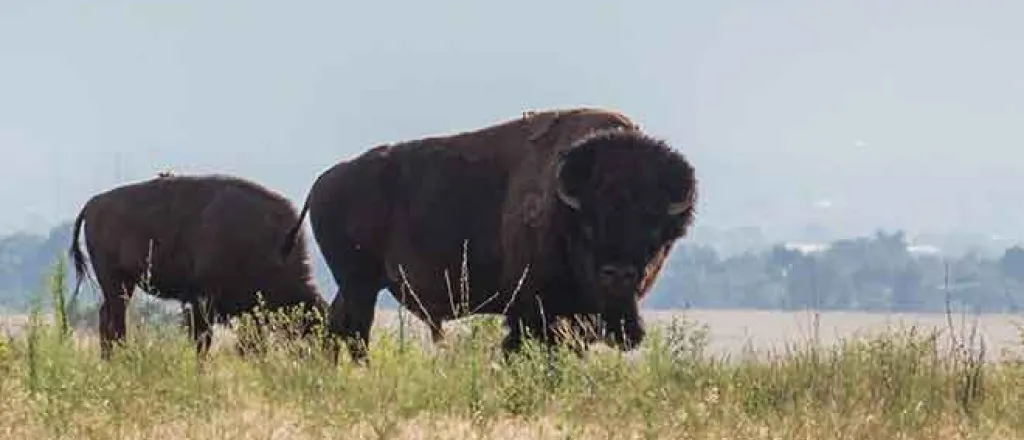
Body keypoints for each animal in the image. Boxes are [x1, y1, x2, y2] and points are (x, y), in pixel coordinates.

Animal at [70, 171, 325, 358]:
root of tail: (93, 204)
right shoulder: (203, 301)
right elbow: (202, 340)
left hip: (124, 284)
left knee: (107, 319)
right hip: (115, 281)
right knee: (115, 322)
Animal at [284, 108, 700, 362]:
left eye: (653, 228)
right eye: (589, 224)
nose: (617, 274)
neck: (564, 208)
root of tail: (321, 183)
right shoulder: (532, 310)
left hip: (357, 285)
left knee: (337, 328)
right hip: (360, 285)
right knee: (354, 332)